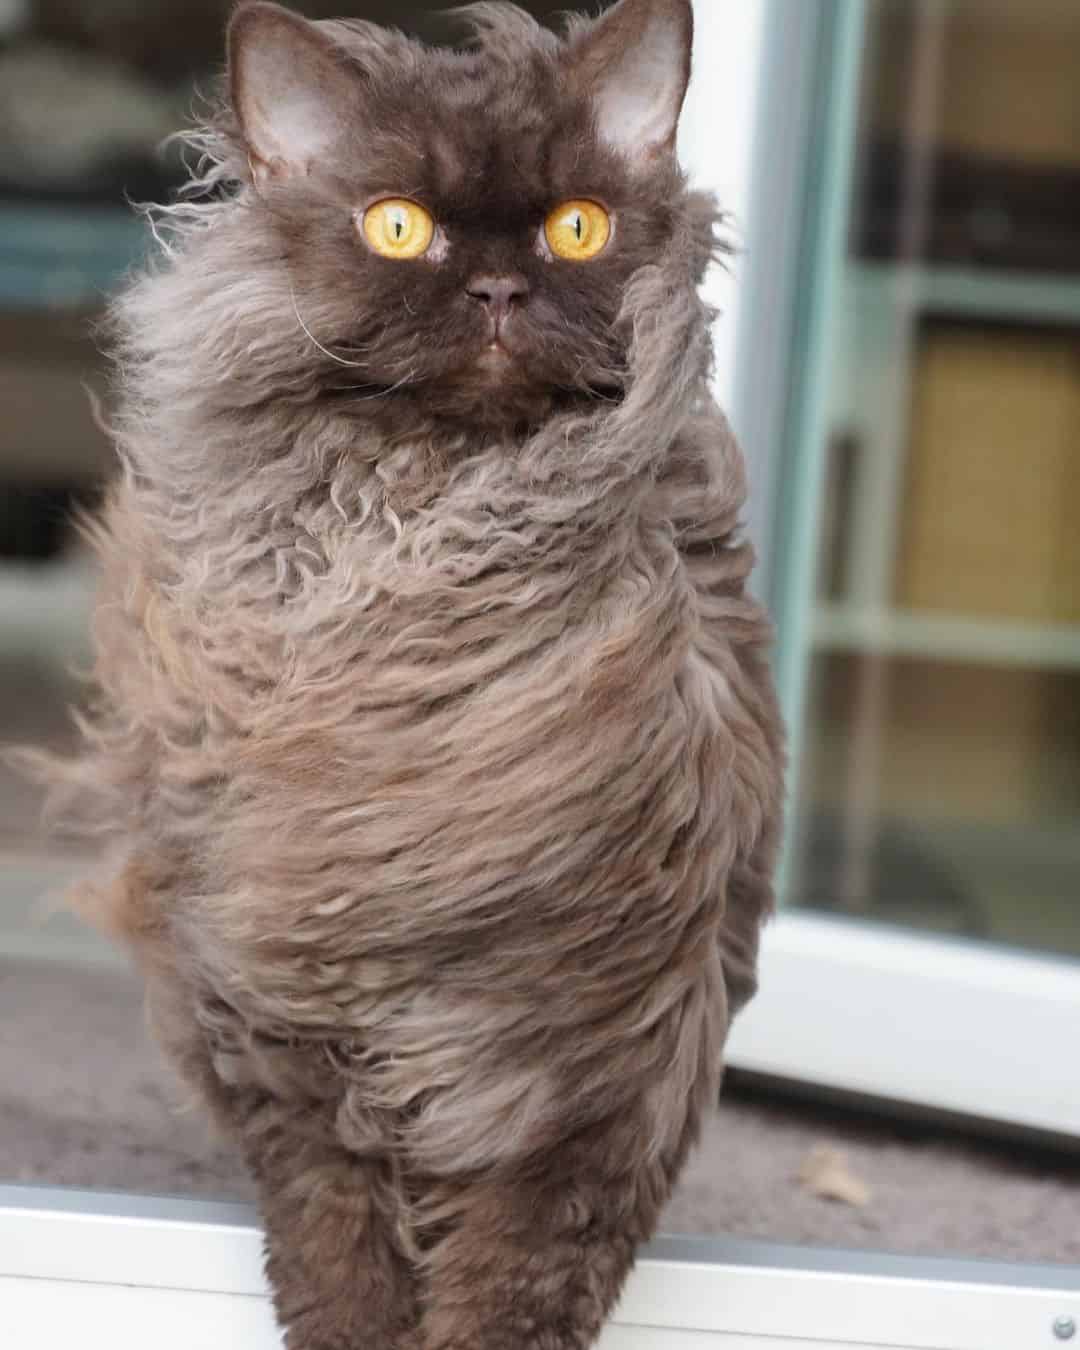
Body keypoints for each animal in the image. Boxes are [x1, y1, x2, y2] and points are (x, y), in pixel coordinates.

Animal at [44, 2, 783, 1350]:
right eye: (398, 227)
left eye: (576, 227)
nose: (496, 288)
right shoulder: (282, 1019)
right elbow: (336, 1249)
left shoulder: (603, 1051)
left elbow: (517, 1282)